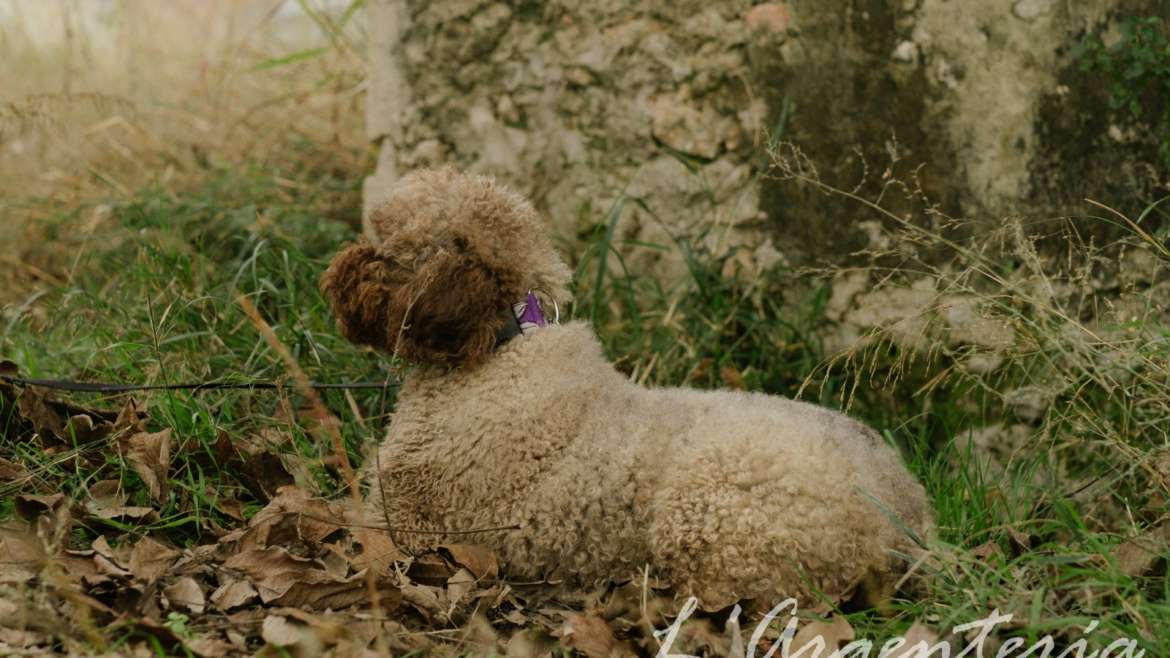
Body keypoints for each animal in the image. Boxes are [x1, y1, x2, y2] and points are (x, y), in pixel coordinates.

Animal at [322, 166, 931, 608]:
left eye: (384, 251)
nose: (330, 276)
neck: (499, 350)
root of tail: (908, 519)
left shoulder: (407, 520)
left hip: (711, 518)